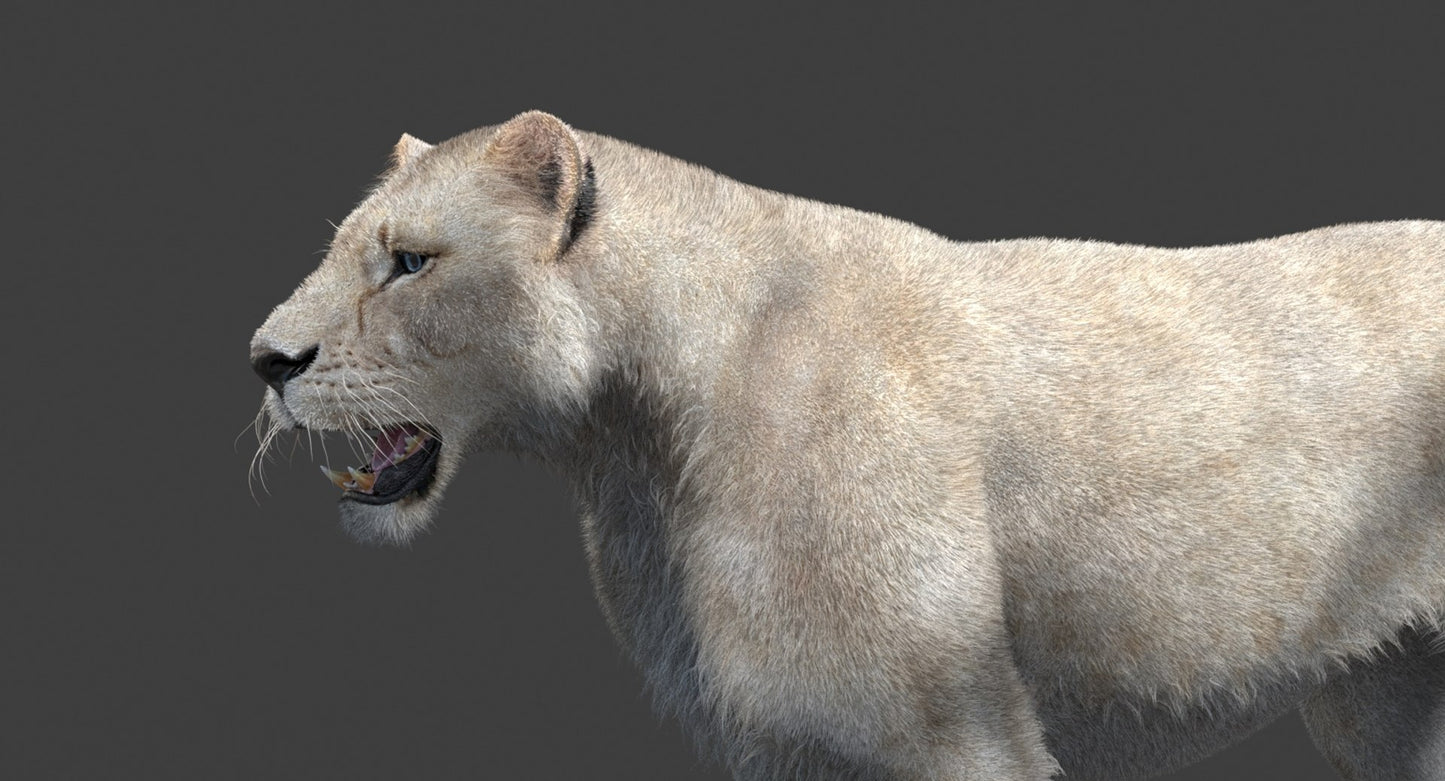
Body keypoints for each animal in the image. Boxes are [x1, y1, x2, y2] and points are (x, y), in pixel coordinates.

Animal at [250, 110, 1445, 780]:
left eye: (410, 261)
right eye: (342, 247)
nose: (265, 360)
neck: (635, 454)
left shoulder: (950, 728)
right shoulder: (783, 741)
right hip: (1385, 702)